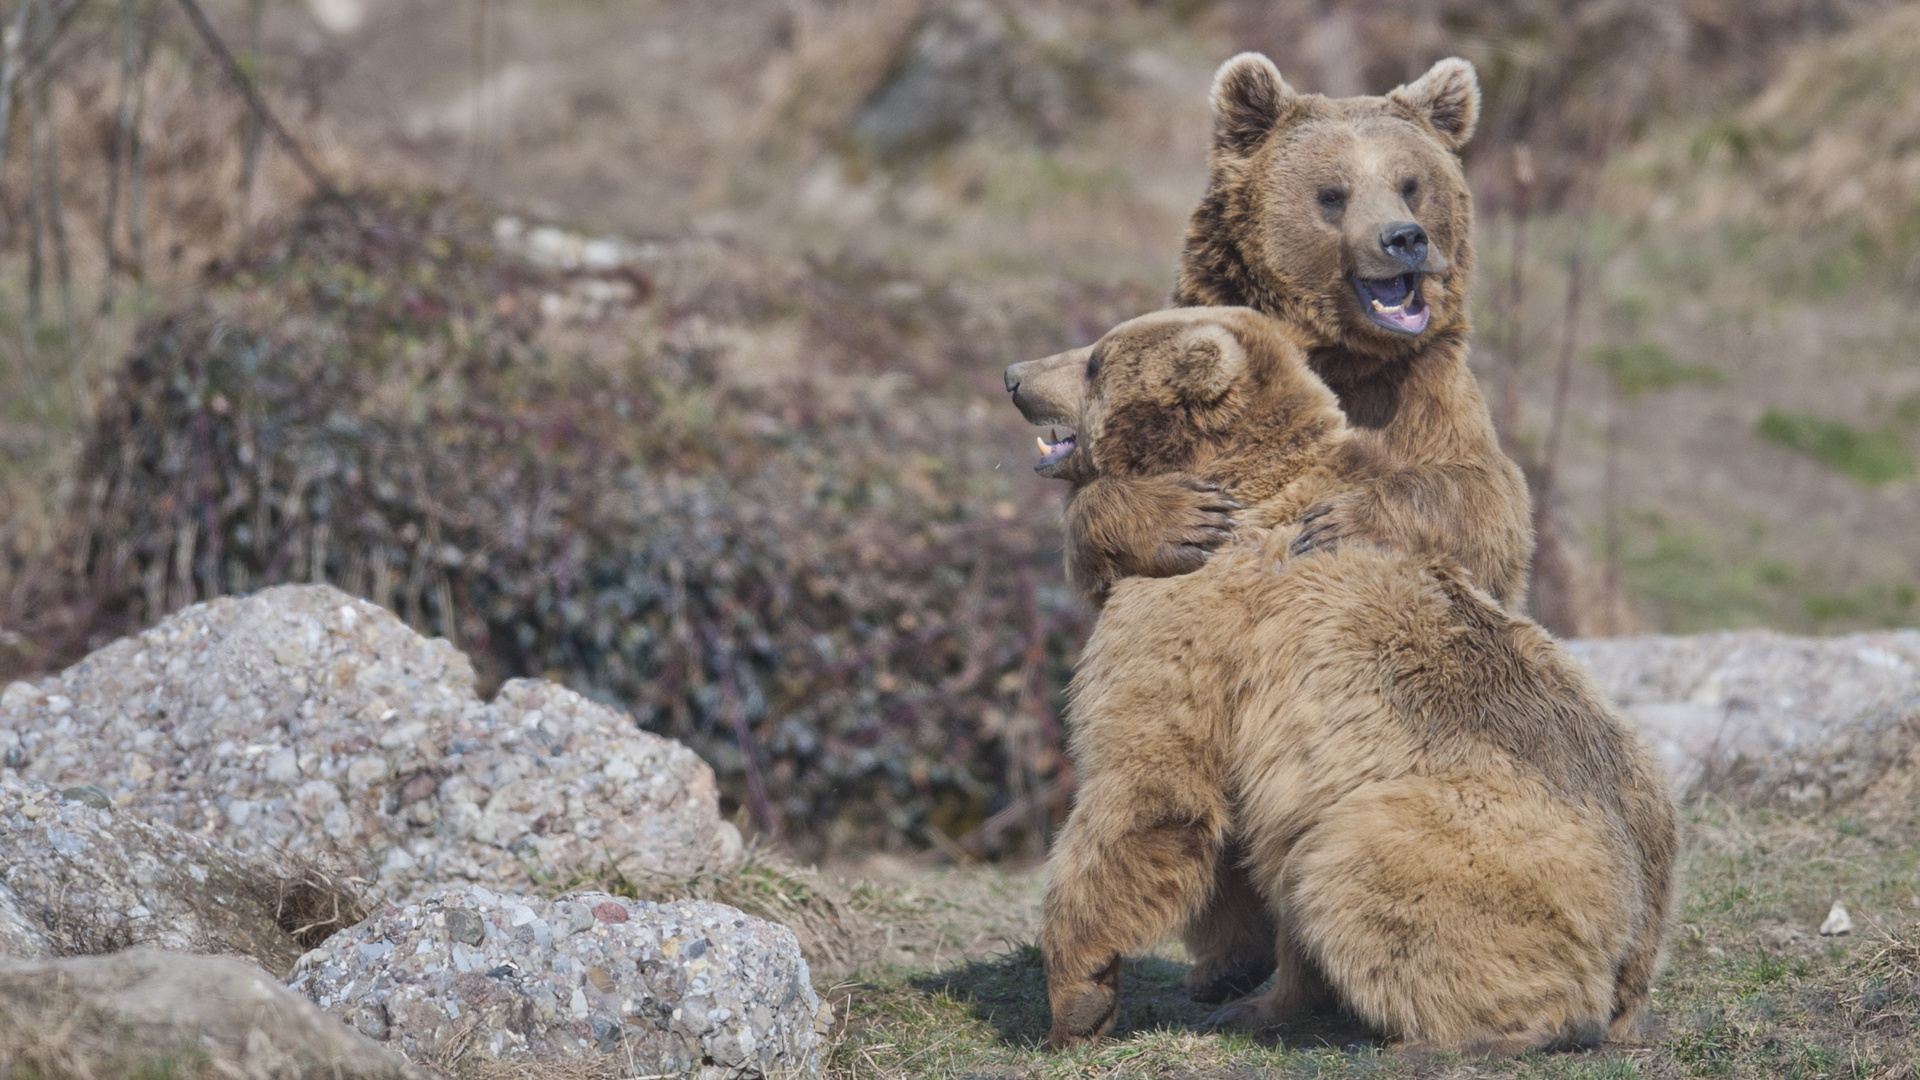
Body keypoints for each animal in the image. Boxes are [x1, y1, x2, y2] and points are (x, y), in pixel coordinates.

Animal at [1067, 54, 1528, 611]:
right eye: (1332, 194)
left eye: (1410, 184)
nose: (1403, 238)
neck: (1340, 352)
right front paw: (1182, 517)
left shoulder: (1423, 390)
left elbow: (1488, 502)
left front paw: (1341, 519)